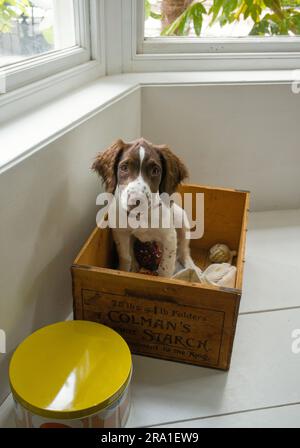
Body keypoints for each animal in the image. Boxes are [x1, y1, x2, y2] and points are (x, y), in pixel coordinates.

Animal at [93, 137, 195, 276]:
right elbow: (126, 257)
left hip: (181, 219)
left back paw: (193, 269)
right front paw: (123, 271)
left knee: (184, 250)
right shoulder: (121, 233)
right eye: (124, 167)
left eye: (155, 170)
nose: (136, 201)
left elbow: (166, 268)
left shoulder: (169, 236)